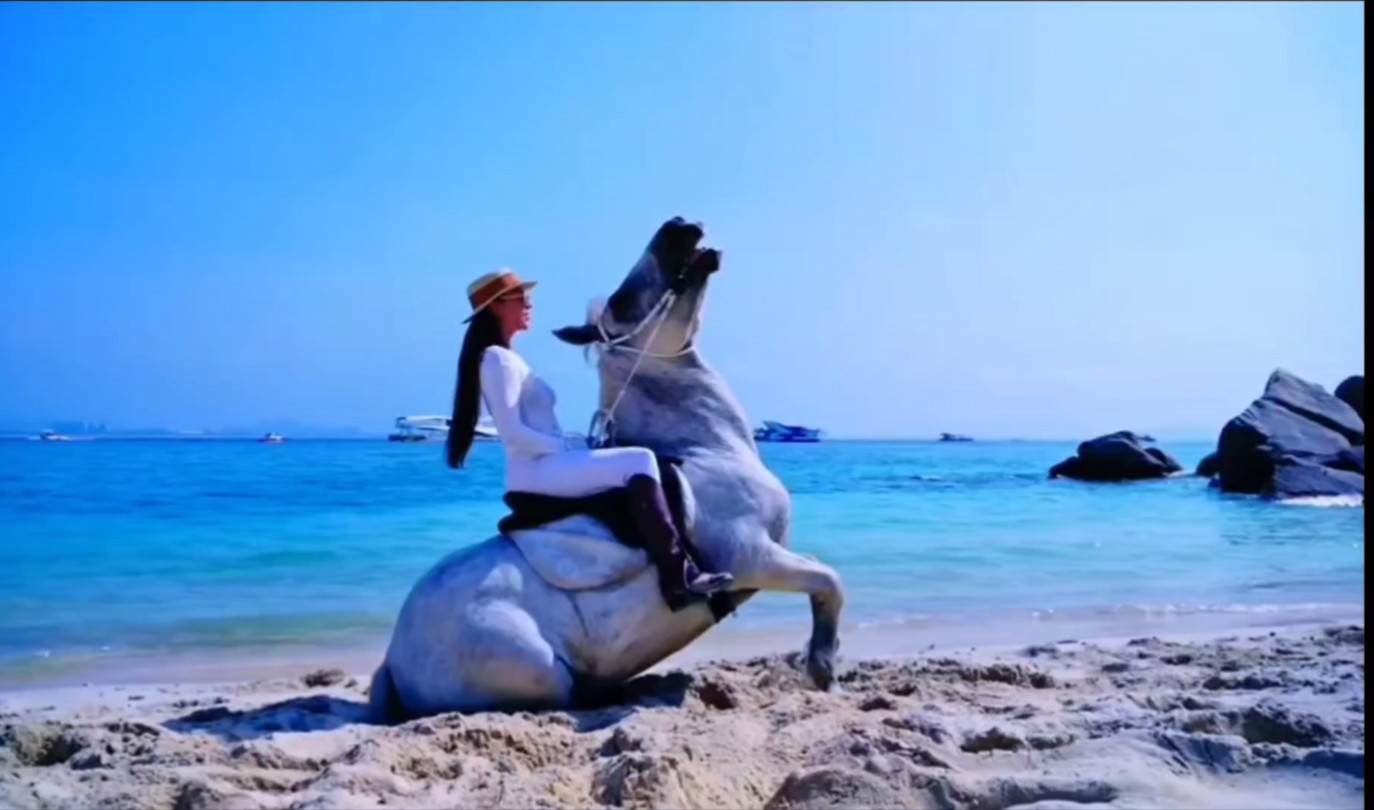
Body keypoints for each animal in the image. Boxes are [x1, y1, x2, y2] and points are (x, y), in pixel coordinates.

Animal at [368, 217, 845, 720]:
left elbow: (822, 578)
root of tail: (393, 659)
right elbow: (830, 580)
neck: (709, 448)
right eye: (621, 302)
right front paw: (822, 670)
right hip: (538, 670)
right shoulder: (751, 557)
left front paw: (822, 666)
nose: (679, 225)